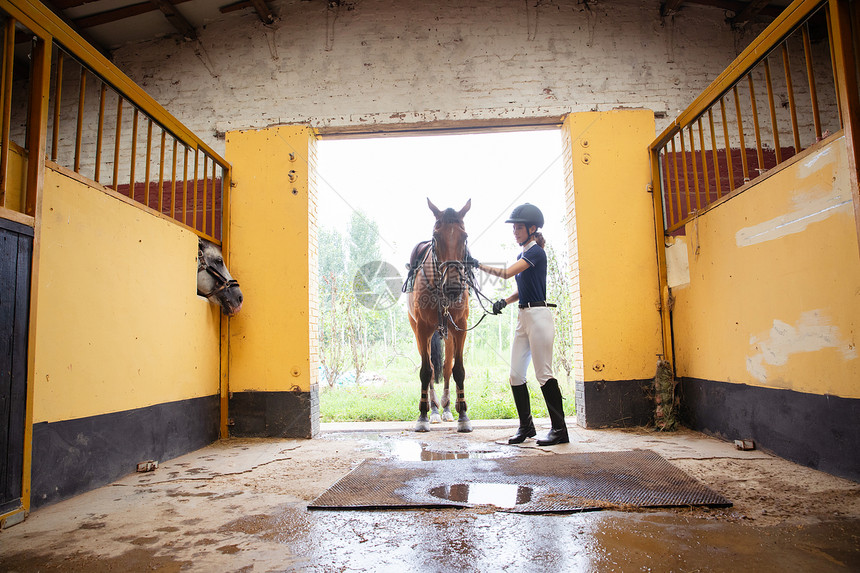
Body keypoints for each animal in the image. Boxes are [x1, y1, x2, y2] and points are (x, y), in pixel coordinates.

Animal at [408, 199, 474, 432]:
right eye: (436, 237)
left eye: (464, 236)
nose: (453, 287)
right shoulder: (422, 330)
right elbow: (426, 371)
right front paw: (423, 415)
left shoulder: (460, 328)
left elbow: (458, 370)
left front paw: (463, 414)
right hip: (420, 331)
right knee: (430, 367)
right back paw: (435, 410)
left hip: (449, 334)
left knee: (445, 368)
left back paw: (445, 408)